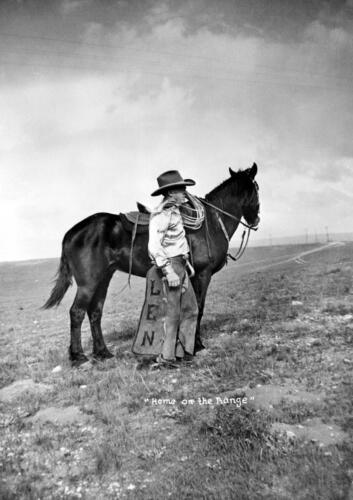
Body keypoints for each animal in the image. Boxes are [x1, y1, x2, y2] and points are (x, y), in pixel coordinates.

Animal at [43, 163, 258, 364]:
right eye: (256, 188)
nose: (255, 220)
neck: (212, 222)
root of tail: (71, 232)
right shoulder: (203, 274)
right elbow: (199, 309)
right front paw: (197, 345)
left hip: (103, 279)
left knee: (95, 312)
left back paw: (103, 352)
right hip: (88, 284)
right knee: (77, 312)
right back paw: (78, 356)